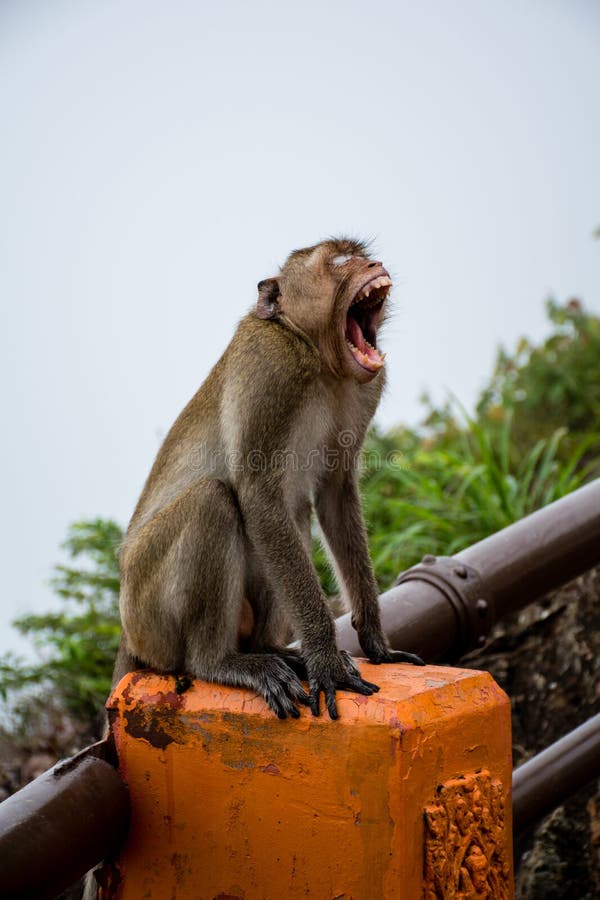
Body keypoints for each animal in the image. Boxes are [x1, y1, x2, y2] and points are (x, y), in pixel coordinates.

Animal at [113, 236, 422, 720]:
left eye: (359, 253)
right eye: (339, 260)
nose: (372, 264)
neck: (317, 357)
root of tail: (129, 634)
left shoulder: (366, 386)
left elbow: (334, 495)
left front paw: (374, 641)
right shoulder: (271, 366)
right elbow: (258, 497)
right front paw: (325, 661)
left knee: (291, 516)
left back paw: (272, 650)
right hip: (148, 610)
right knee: (214, 501)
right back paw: (220, 662)